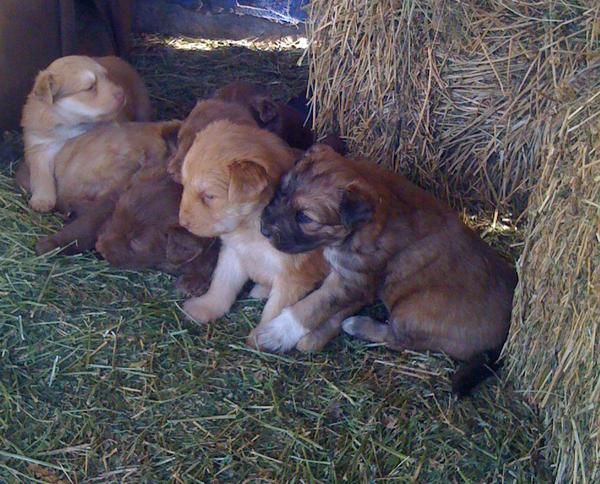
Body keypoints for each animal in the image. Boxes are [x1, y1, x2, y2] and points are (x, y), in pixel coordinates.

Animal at [21, 54, 152, 212]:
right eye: (90, 87)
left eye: (107, 77)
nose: (122, 94)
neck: (71, 124)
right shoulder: (39, 146)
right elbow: (41, 175)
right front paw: (42, 200)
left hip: (143, 103)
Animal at [178, 119, 328, 350]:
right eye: (184, 184)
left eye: (209, 196)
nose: (182, 222)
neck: (252, 228)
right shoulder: (234, 252)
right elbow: (222, 284)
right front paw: (206, 307)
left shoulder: (294, 276)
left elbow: (275, 309)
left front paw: (264, 337)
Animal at [262, 144, 520, 394]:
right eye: (282, 190)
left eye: (305, 218)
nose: (263, 228)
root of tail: (504, 339)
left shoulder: (353, 279)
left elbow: (314, 305)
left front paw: (276, 332)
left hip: (411, 311)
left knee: (399, 340)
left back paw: (357, 324)